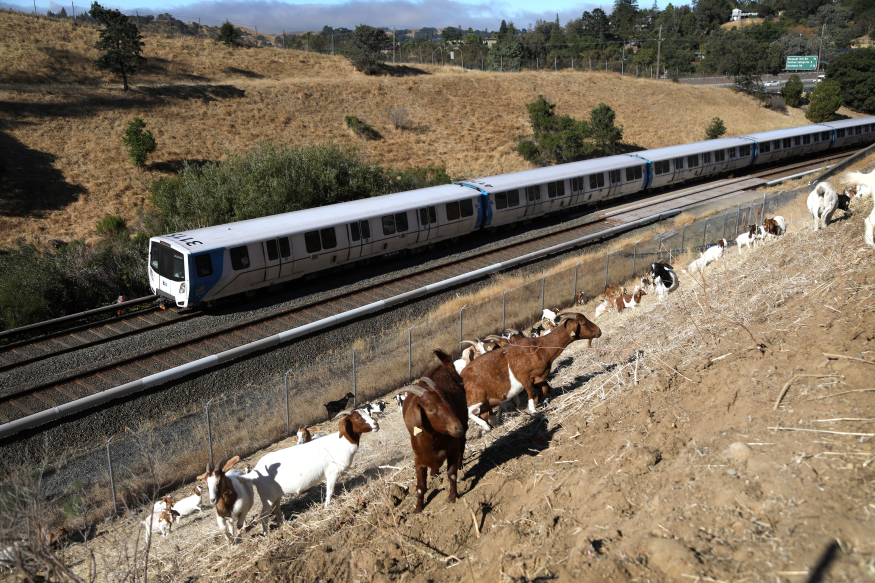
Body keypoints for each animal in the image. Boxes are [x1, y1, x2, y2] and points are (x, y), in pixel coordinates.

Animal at [250, 408, 380, 536]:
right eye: (357, 417)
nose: (376, 424)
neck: (341, 442)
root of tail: (254, 472)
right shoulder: (332, 473)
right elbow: (329, 492)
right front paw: (327, 507)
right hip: (267, 497)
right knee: (263, 515)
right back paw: (266, 534)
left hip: (276, 495)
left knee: (276, 509)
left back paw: (282, 523)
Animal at [406, 350, 472, 512]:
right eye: (430, 409)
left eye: (447, 400)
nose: (457, 427)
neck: (432, 442)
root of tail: (445, 365)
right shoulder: (419, 460)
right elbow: (420, 487)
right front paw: (418, 509)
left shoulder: (452, 449)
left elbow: (452, 475)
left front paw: (453, 498)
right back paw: (434, 472)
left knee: (462, 445)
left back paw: (460, 465)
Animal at [458, 312, 604, 432]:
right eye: (583, 323)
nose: (599, 331)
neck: (540, 347)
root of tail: (461, 376)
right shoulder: (524, 376)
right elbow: (530, 391)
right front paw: (533, 409)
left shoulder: (539, 376)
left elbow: (544, 389)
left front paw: (537, 402)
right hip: (477, 398)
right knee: (469, 412)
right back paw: (485, 426)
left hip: (485, 403)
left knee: (484, 414)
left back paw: (490, 425)